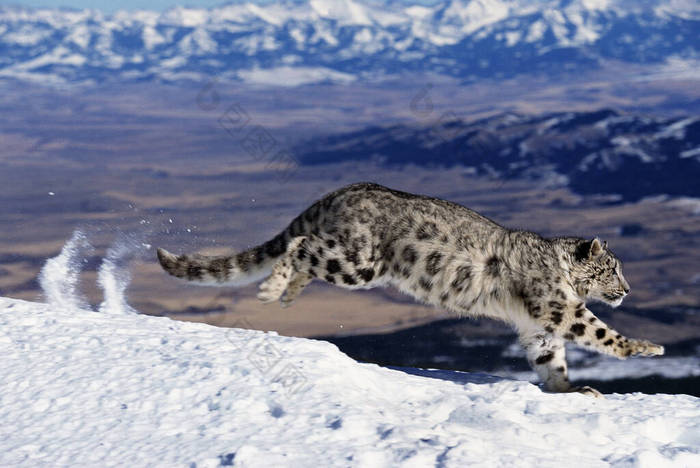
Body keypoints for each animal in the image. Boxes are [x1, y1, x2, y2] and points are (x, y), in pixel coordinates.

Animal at [156, 181, 664, 396]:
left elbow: (550, 360)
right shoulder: (557, 308)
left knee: (305, 250)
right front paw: (644, 348)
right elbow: (598, 331)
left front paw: (569, 391)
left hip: (350, 261)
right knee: (302, 246)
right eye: (611, 269)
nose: (628, 289)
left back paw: (287, 292)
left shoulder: (538, 326)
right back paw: (273, 289)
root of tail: (345, 190)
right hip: (357, 261)